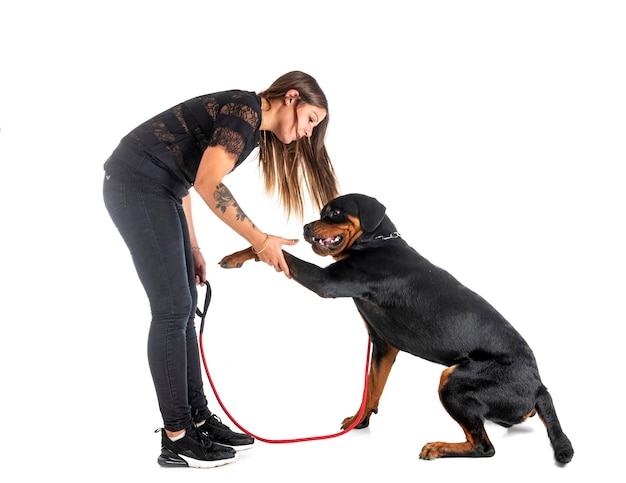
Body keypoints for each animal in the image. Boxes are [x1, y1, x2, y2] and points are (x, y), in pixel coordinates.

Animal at [219, 193, 572, 466]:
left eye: (335, 213)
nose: (307, 226)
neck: (373, 244)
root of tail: (539, 385)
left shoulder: (326, 283)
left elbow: (280, 253)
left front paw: (238, 255)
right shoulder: (384, 343)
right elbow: (373, 385)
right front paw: (359, 421)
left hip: (452, 379)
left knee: (484, 447)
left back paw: (439, 447)